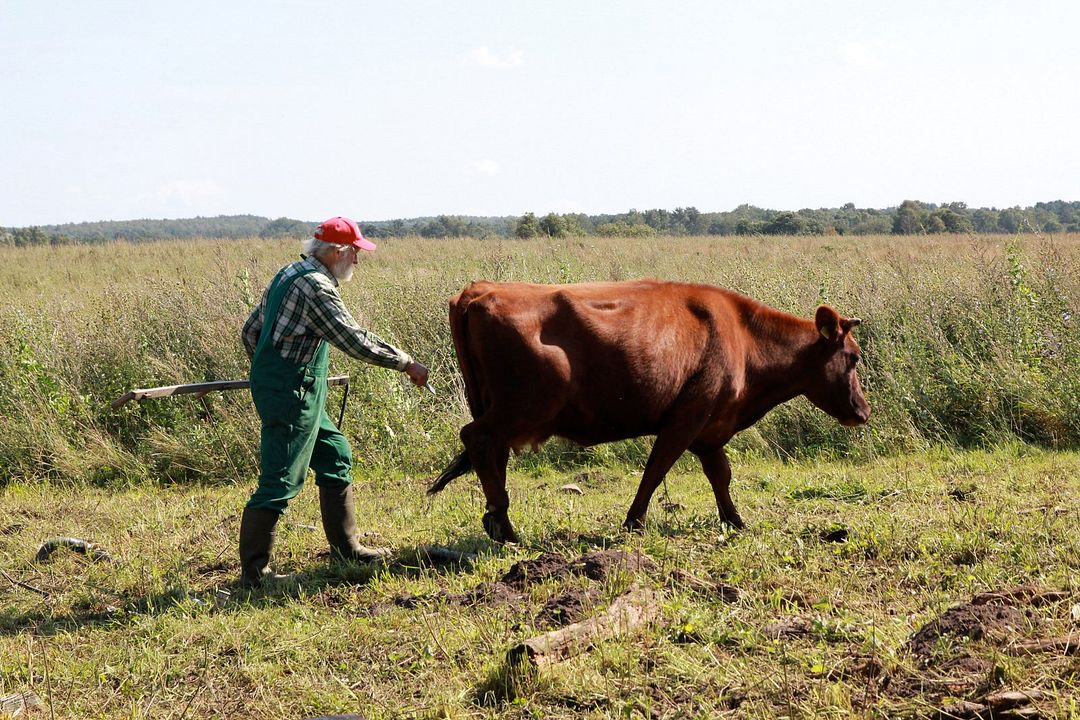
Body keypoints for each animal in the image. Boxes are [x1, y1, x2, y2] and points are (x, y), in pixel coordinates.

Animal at [427, 278, 868, 544]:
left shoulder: (710, 430)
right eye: (854, 357)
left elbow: (720, 476)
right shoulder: (687, 417)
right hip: (523, 406)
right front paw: (634, 523)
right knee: (477, 438)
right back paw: (505, 529)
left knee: (491, 452)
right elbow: (656, 470)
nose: (862, 412)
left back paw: (497, 521)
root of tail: (478, 291)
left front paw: (735, 521)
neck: (743, 337)